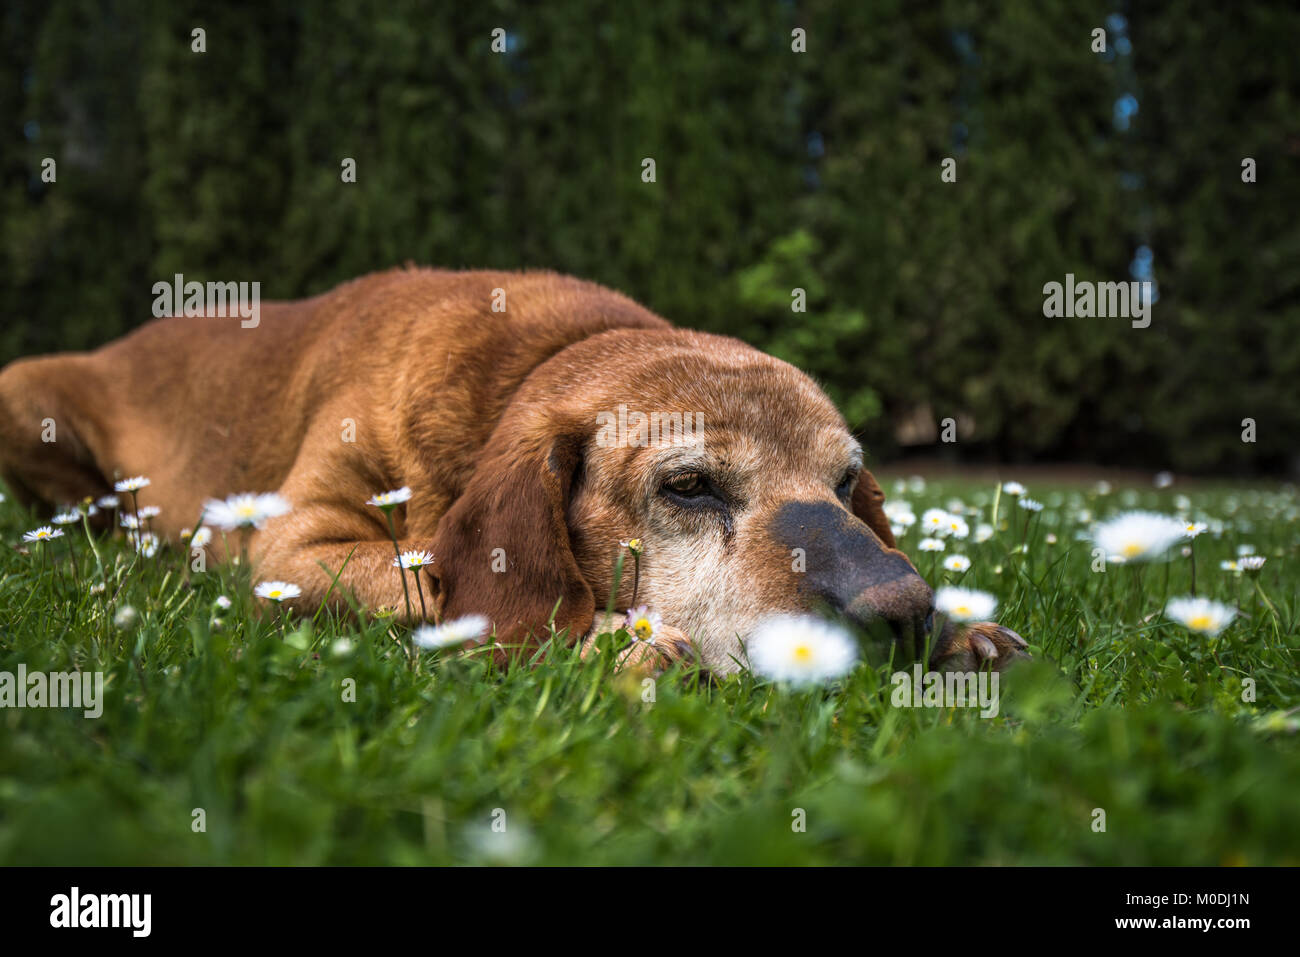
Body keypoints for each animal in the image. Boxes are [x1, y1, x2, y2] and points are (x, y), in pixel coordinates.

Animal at [0, 267, 1024, 670]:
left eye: (846, 482)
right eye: (689, 486)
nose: (903, 612)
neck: (535, 362)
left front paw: (969, 631)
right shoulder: (289, 550)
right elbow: (428, 584)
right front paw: (608, 638)